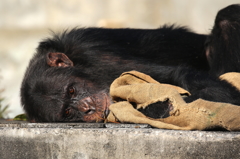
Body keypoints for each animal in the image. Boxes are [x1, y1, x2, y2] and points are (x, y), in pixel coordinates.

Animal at [20, 4, 240, 122]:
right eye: (67, 112)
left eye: (71, 90)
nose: (86, 108)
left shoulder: (93, 52)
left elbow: (176, 75)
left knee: (228, 15)